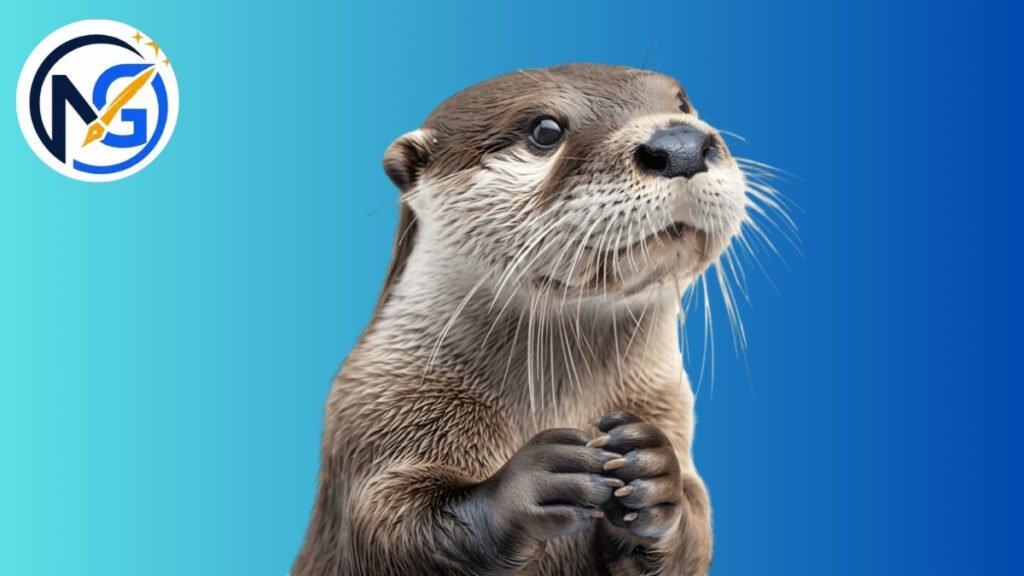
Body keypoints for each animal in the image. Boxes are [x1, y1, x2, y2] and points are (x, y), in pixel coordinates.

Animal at [293, 63, 754, 575]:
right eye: (545, 130)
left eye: (682, 104)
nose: (680, 145)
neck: (560, 394)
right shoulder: (375, 406)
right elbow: (389, 524)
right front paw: (532, 480)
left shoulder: (668, 402)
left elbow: (696, 518)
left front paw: (658, 473)